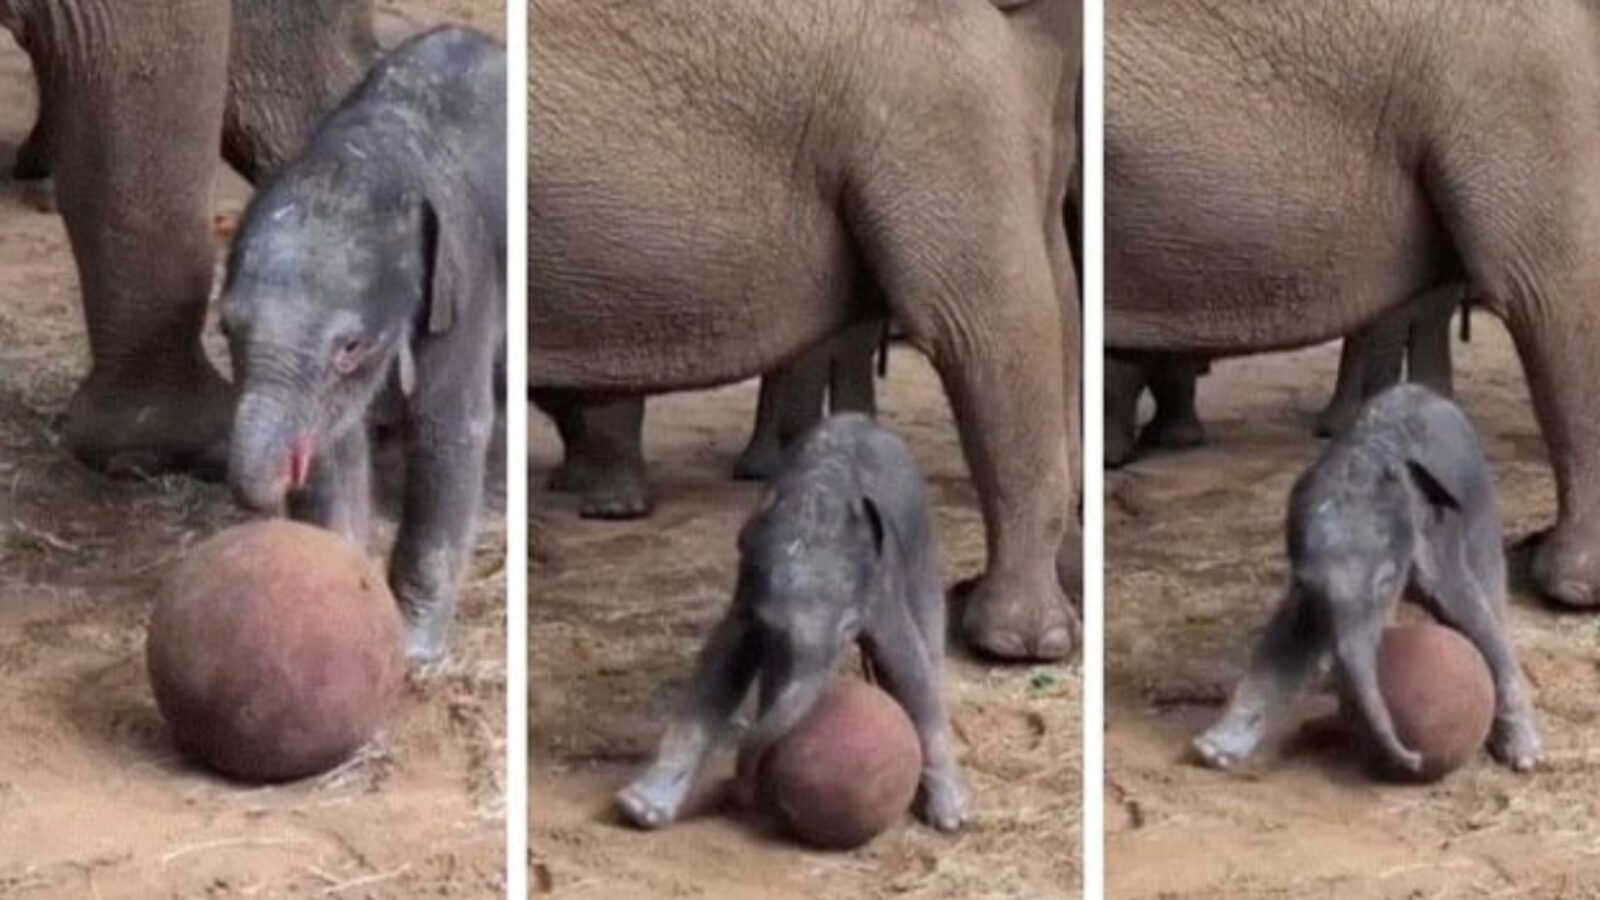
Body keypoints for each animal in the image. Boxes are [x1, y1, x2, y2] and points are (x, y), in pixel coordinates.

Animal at [222, 26, 506, 662]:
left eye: (350, 347)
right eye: (227, 326)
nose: (281, 476)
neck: (371, 153)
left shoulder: (466, 281)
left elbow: (449, 428)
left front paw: (417, 654)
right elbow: (335, 446)